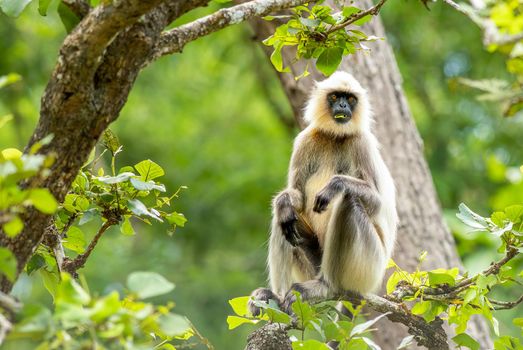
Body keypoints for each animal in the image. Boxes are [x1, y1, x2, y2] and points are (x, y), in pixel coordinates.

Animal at [250, 70, 398, 314]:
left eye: (350, 99)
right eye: (336, 96)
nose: (343, 106)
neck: (335, 136)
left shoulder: (362, 143)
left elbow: (376, 203)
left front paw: (335, 185)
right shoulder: (305, 140)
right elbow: (297, 198)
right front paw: (285, 201)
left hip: (370, 267)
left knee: (349, 201)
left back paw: (326, 286)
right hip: (312, 264)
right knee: (284, 219)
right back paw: (277, 298)